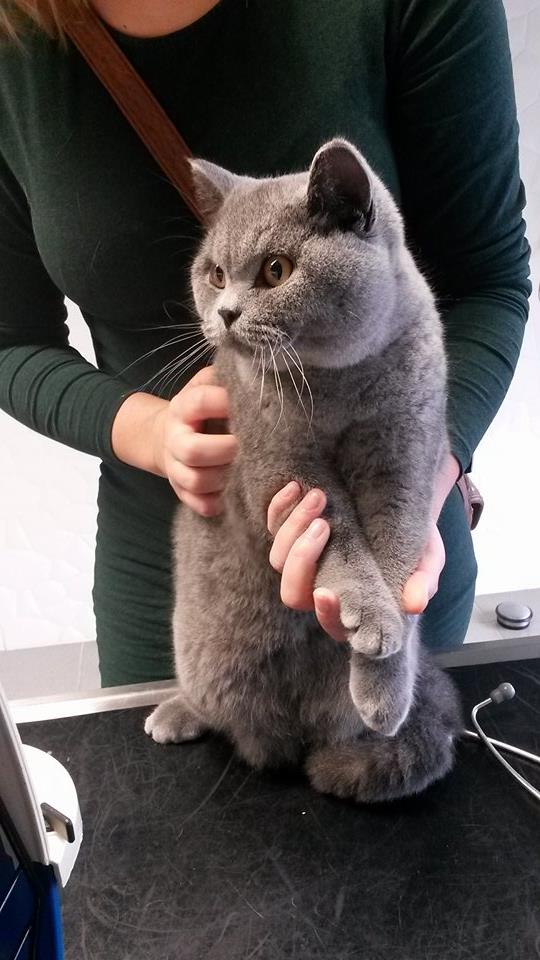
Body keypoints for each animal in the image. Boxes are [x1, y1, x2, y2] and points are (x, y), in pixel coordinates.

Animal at [145, 138, 463, 803]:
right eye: (215, 273)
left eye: (276, 270)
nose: (225, 312)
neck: (336, 383)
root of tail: (283, 738)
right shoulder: (284, 470)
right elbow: (338, 539)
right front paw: (369, 617)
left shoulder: (403, 460)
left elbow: (396, 556)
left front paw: (384, 679)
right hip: (197, 649)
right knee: (211, 702)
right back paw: (177, 712)